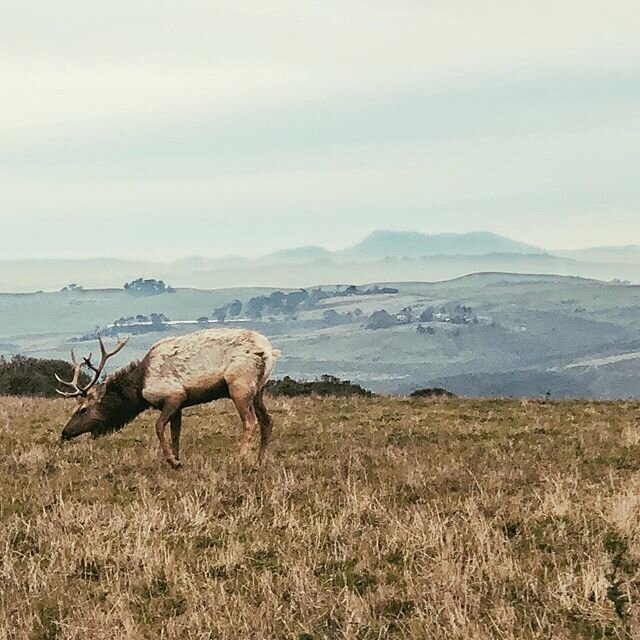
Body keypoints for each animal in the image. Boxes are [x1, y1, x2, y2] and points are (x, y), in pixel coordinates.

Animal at [56, 328, 282, 468]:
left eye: (83, 409)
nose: (64, 432)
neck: (139, 388)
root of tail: (269, 352)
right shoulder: (180, 404)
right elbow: (175, 434)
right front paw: (177, 459)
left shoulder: (173, 396)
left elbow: (158, 427)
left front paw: (172, 461)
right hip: (259, 389)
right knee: (267, 421)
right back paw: (260, 461)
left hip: (239, 385)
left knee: (250, 421)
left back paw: (240, 458)